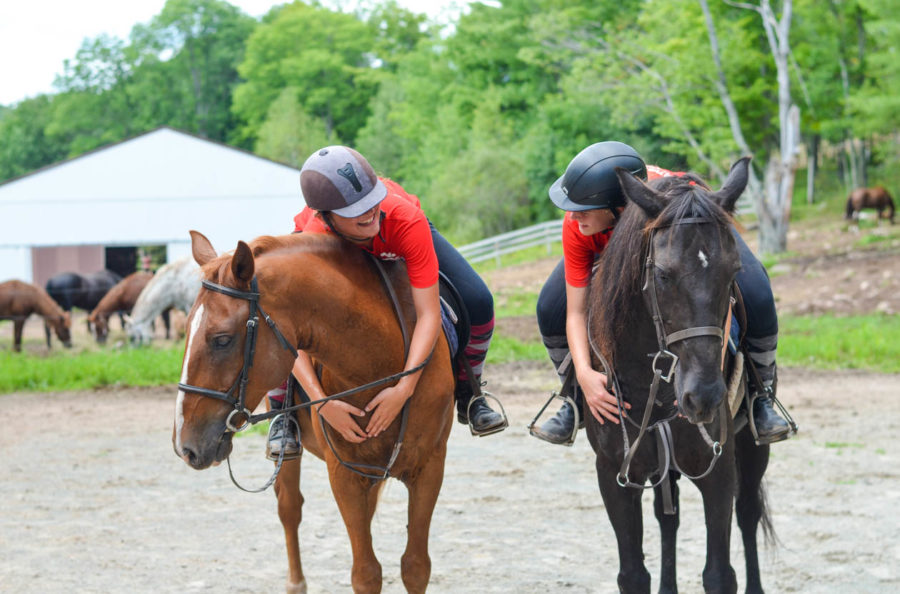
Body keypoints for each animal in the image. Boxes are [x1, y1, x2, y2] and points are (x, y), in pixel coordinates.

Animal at [174, 231, 458, 592]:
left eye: (221, 339)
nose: (185, 446)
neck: (381, 362)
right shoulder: (345, 475)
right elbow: (366, 573)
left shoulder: (429, 469)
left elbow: (416, 566)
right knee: (289, 508)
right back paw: (296, 582)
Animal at [588, 157, 768, 592]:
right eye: (663, 276)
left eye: (734, 271)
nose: (703, 397)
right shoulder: (614, 474)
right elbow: (633, 574)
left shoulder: (719, 467)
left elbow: (720, 573)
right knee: (668, 520)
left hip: (753, 447)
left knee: (748, 514)